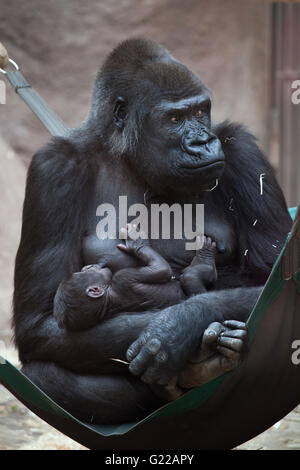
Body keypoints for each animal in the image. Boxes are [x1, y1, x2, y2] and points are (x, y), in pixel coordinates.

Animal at [54, 225, 218, 330]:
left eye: (85, 269)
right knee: (190, 278)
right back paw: (204, 259)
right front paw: (137, 241)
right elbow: (162, 270)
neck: (108, 298)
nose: (92, 266)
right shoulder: (123, 278)